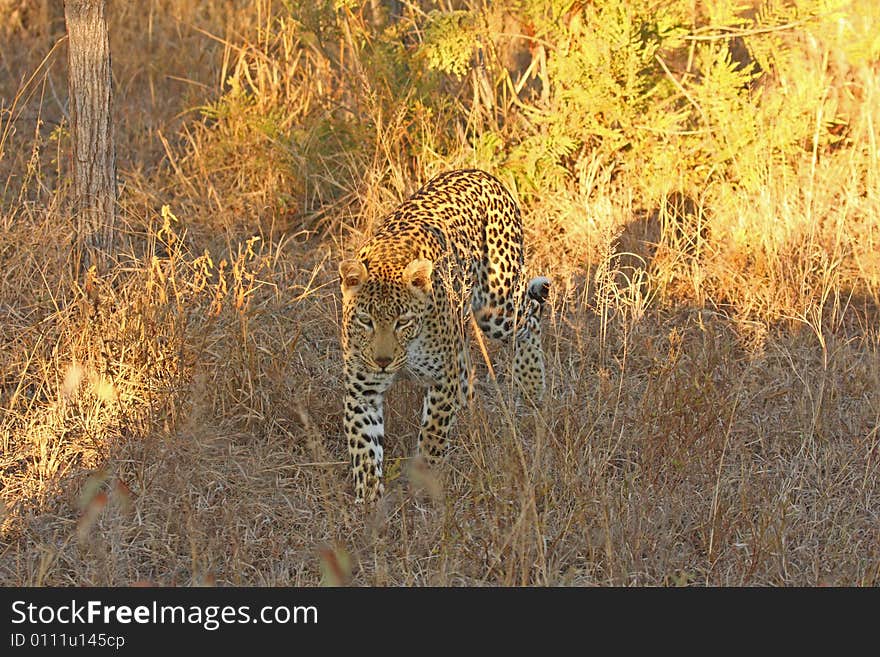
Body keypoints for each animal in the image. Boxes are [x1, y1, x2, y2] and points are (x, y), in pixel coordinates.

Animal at [338, 169, 552, 502]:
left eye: (403, 321)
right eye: (365, 320)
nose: (383, 362)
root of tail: (480, 173)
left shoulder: (442, 380)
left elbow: (432, 435)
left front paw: (422, 482)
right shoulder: (363, 391)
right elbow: (364, 447)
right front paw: (368, 500)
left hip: (497, 306)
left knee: (532, 314)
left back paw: (530, 385)